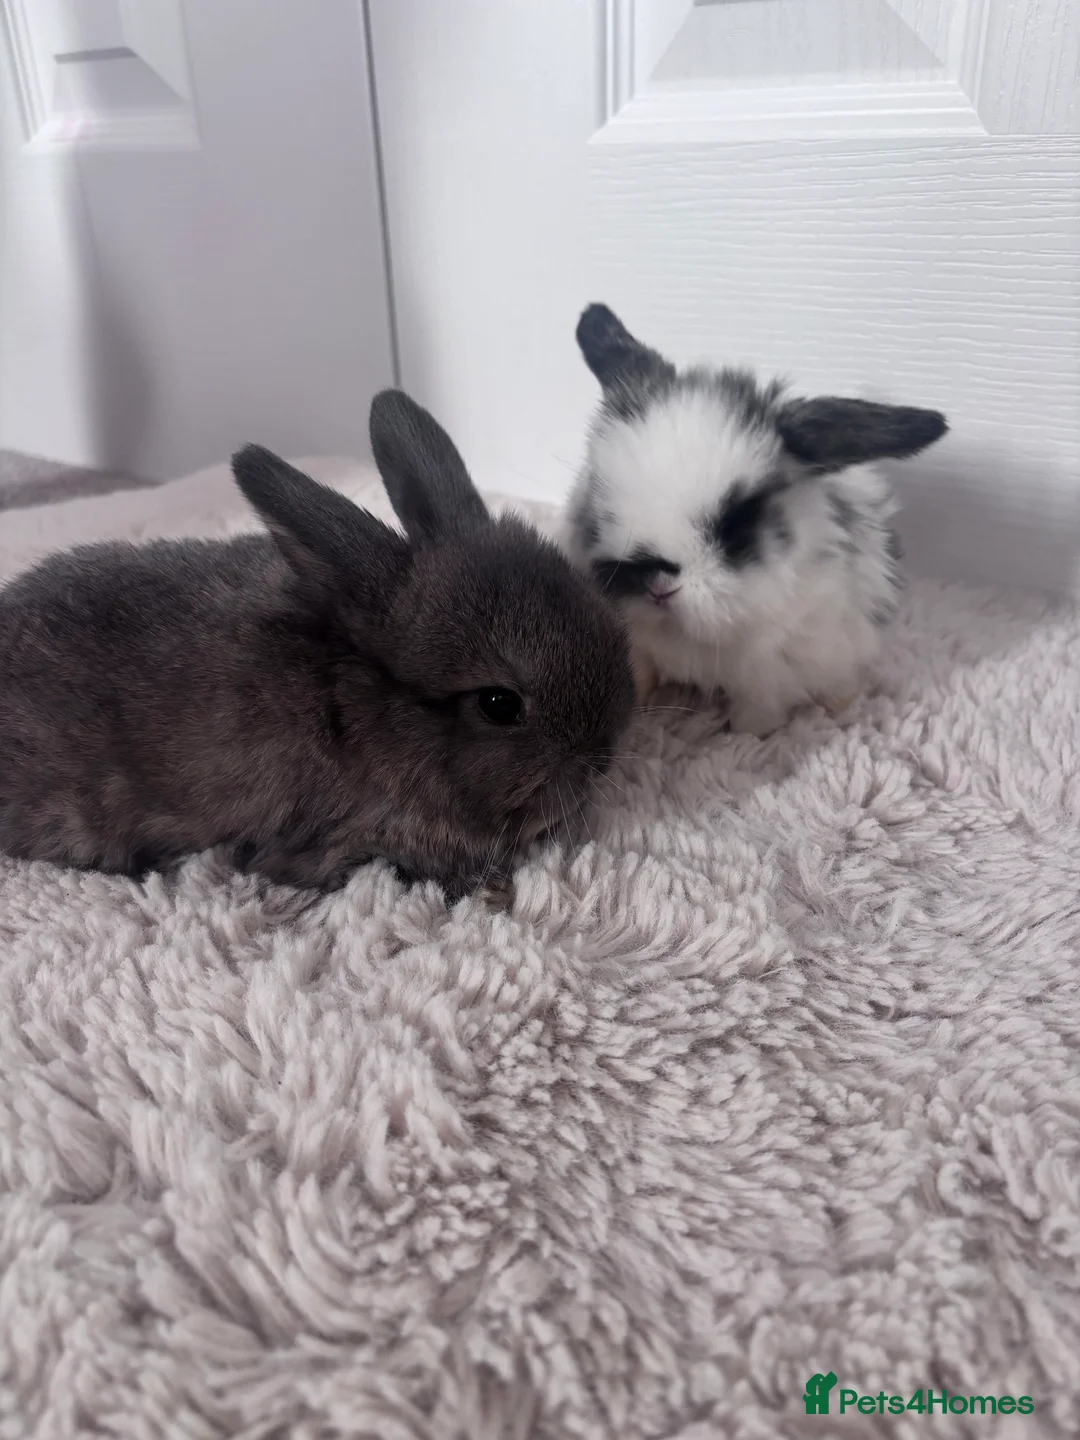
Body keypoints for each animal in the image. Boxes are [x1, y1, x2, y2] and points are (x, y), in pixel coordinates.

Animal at [563, 304, 948, 737]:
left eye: (738, 518)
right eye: (598, 497)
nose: (656, 584)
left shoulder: (768, 672)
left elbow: (757, 711)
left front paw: (743, 736)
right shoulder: (638, 648)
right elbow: (641, 676)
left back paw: (840, 708)